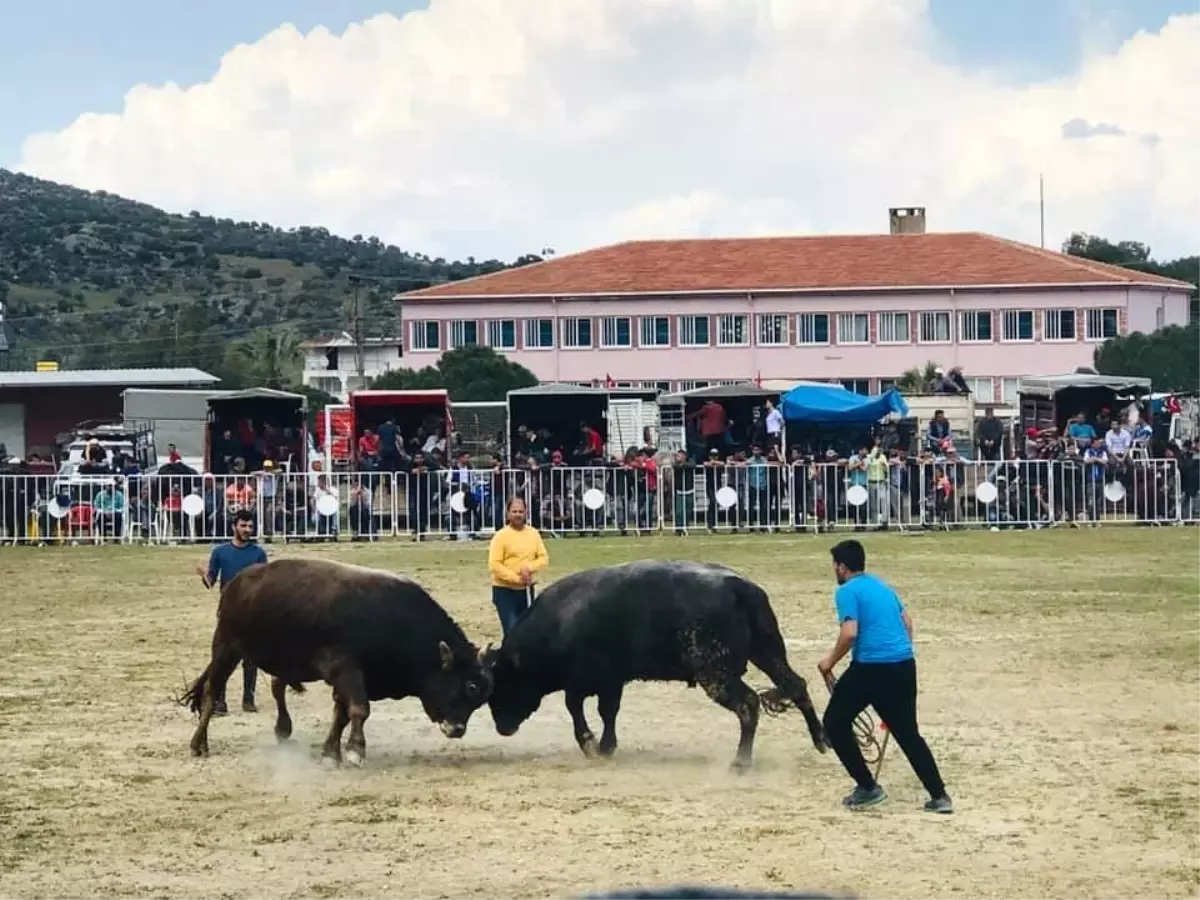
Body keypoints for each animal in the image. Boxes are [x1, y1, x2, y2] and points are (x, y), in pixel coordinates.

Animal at [178, 561, 496, 763]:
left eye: (480, 696)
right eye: (467, 686)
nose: (457, 730)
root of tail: (238, 581)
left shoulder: (351, 678)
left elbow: (341, 714)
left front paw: (331, 753)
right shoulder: (346, 670)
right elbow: (359, 710)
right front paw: (355, 751)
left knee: (277, 687)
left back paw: (282, 729)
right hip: (226, 647)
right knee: (211, 692)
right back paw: (198, 744)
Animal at [482, 561, 830, 772]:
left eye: (502, 683)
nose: (502, 727)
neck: (561, 619)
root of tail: (741, 588)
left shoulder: (585, 680)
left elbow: (576, 708)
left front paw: (591, 744)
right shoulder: (612, 681)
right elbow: (609, 712)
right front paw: (607, 746)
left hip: (716, 675)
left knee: (748, 704)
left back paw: (740, 762)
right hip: (767, 653)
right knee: (796, 685)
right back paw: (821, 740)